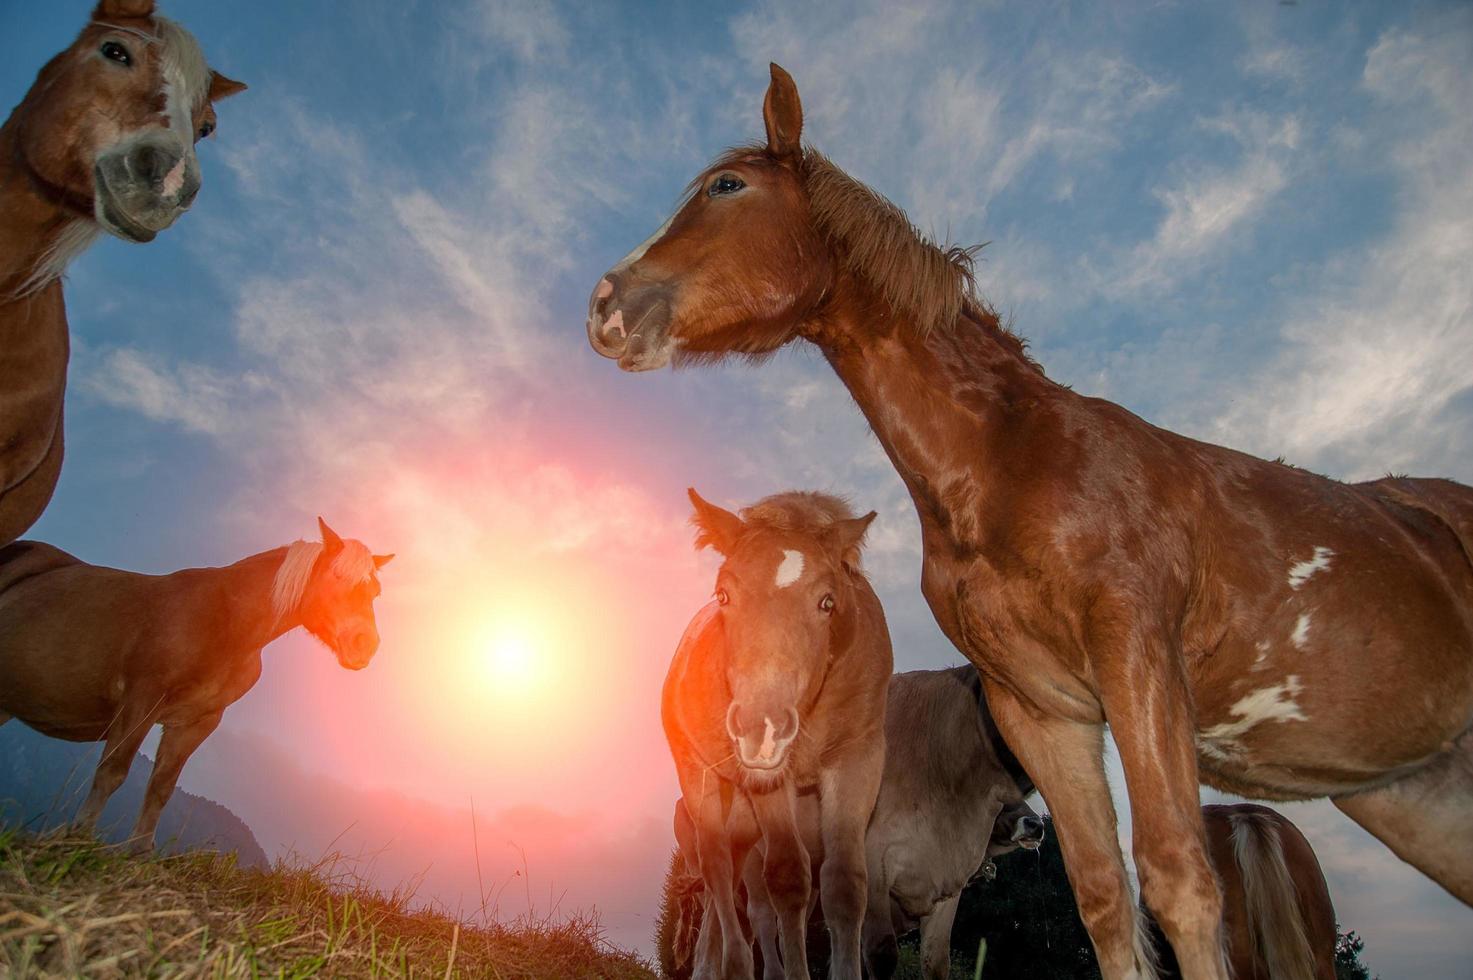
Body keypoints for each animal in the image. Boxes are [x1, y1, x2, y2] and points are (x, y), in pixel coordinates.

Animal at [0, 518, 391, 848]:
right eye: (336, 577)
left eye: (375, 592)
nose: (365, 645)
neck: (225, 622)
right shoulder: (142, 698)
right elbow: (113, 771)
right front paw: (78, 839)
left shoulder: (199, 721)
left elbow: (161, 787)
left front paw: (138, 853)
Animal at [665, 489, 883, 978]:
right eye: (723, 594)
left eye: (827, 602)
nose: (760, 729)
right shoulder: (770, 782)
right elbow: (788, 879)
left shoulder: (858, 760)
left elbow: (845, 884)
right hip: (701, 781)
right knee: (718, 868)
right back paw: (732, 964)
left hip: (744, 817)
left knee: (727, 878)